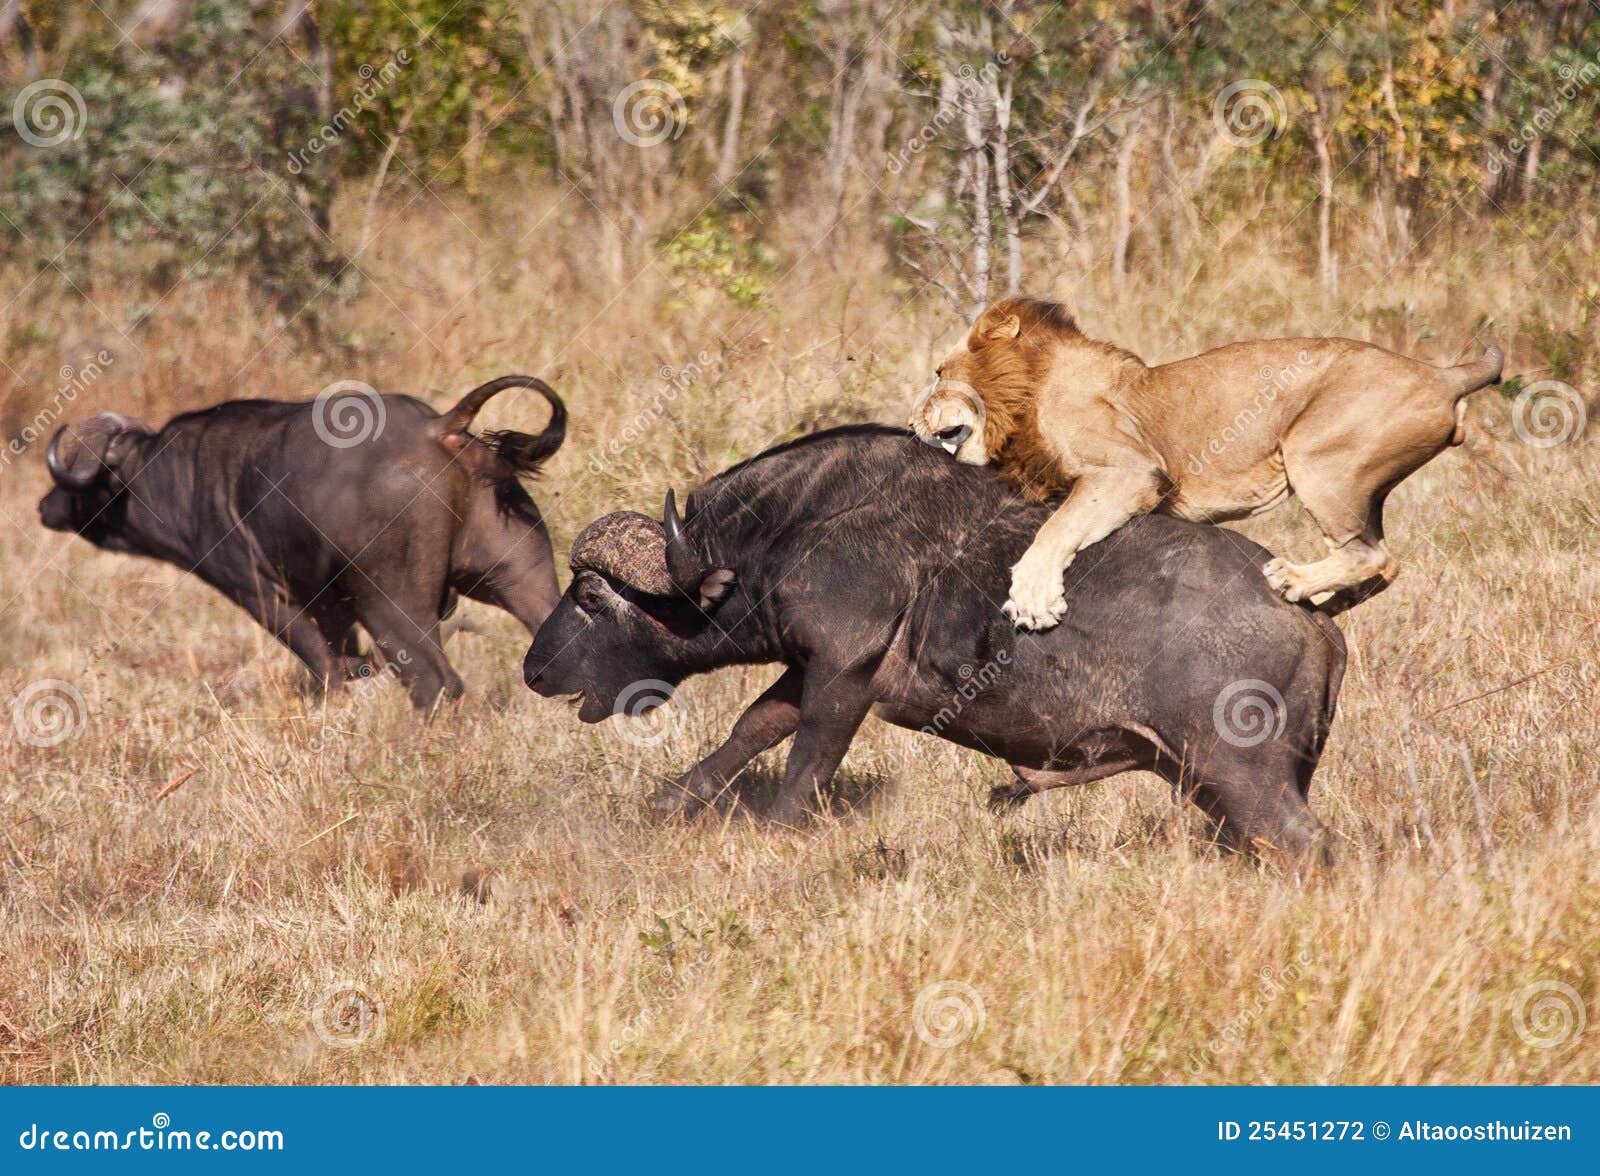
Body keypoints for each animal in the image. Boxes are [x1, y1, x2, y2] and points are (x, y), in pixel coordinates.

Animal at [915, 299, 1497, 630]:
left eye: (940, 372)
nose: (912, 417)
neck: (1024, 395)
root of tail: (1441, 374)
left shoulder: (1131, 471)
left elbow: (1056, 528)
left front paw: (1033, 599)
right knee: (1385, 564)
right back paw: (1321, 602)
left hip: (1316, 457)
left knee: (1371, 554)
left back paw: (1293, 581)